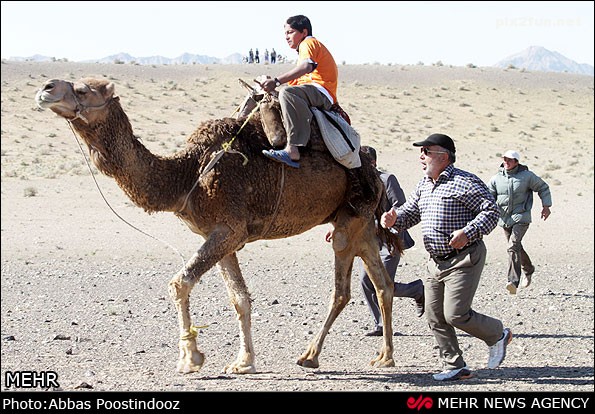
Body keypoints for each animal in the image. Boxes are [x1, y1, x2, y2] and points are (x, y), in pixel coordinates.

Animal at [35, 77, 402, 374]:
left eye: (84, 89)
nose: (46, 88)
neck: (188, 174)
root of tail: (369, 163)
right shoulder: (224, 236)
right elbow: (239, 298)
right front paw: (243, 362)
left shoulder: (229, 229)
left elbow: (180, 283)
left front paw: (190, 359)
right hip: (361, 223)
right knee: (383, 284)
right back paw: (384, 357)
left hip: (349, 220)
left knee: (343, 289)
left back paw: (310, 356)